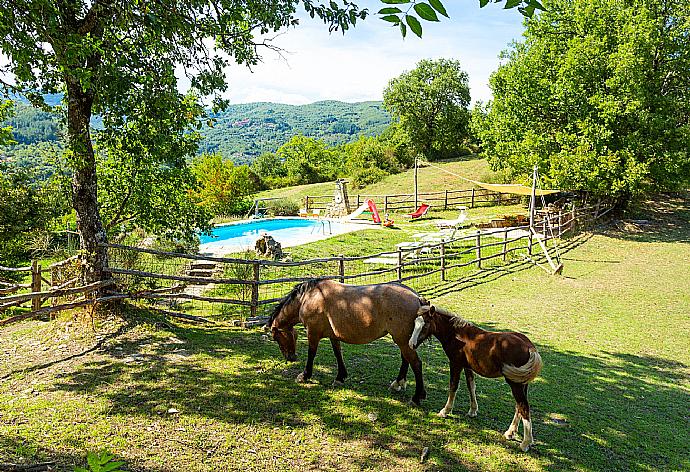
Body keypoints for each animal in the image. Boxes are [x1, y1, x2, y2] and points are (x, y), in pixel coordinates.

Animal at [268, 280, 424, 406]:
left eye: (276, 338)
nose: (290, 358)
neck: (309, 297)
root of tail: (417, 298)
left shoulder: (313, 333)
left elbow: (311, 354)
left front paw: (305, 375)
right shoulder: (333, 336)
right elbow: (338, 354)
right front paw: (340, 377)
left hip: (402, 340)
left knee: (415, 363)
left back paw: (416, 398)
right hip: (403, 341)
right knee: (405, 359)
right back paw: (398, 383)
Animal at [408, 304, 544, 452]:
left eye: (426, 324)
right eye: (415, 322)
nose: (411, 344)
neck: (457, 335)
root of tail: (530, 347)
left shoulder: (455, 364)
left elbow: (453, 386)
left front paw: (445, 411)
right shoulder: (467, 367)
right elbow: (471, 386)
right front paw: (473, 410)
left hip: (515, 383)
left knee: (523, 407)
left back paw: (525, 443)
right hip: (521, 382)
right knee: (519, 406)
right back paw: (510, 432)